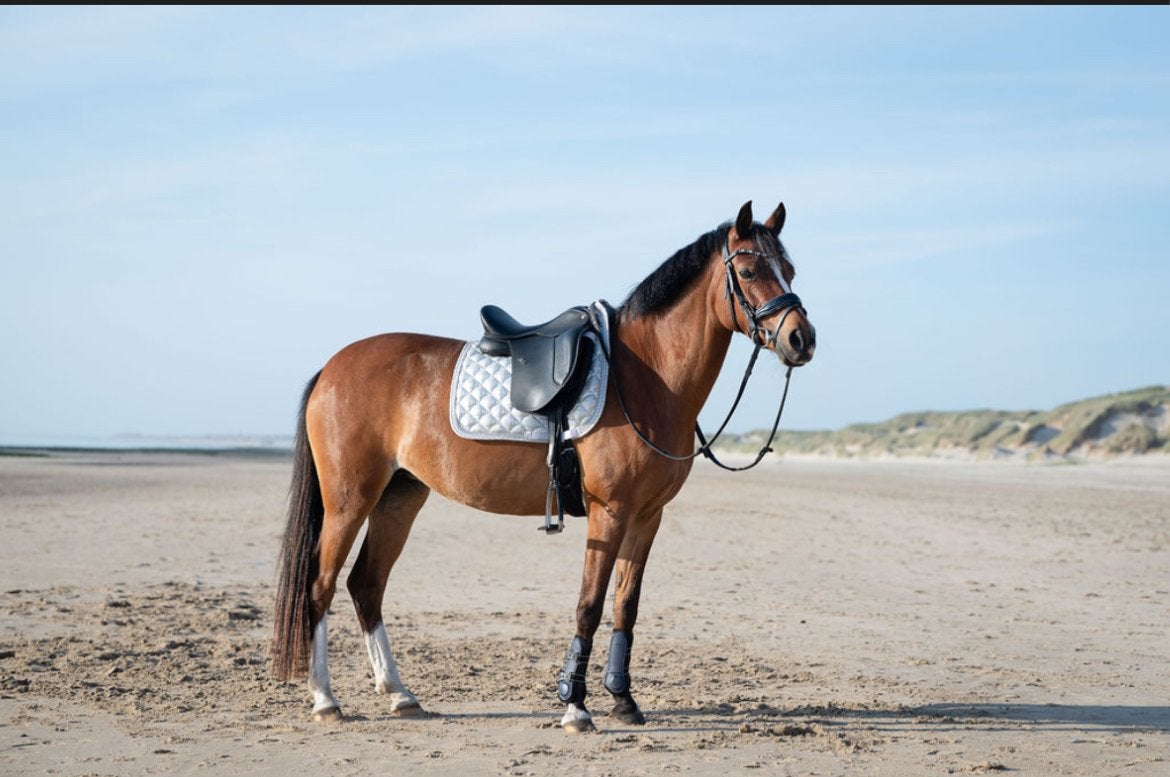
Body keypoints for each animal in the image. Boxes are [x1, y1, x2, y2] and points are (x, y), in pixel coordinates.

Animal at [270, 200, 817, 733]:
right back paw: (325, 699)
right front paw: (575, 707)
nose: (801, 339)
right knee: (320, 586)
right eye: (747, 270)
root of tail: (332, 367)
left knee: (366, 584)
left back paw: (400, 694)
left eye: (789, 270)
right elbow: (589, 605)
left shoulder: (647, 516)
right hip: (349, 500)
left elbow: (626, 605)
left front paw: (623, 700)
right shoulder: (609, 513)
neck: (645, 377)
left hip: (399, 497)